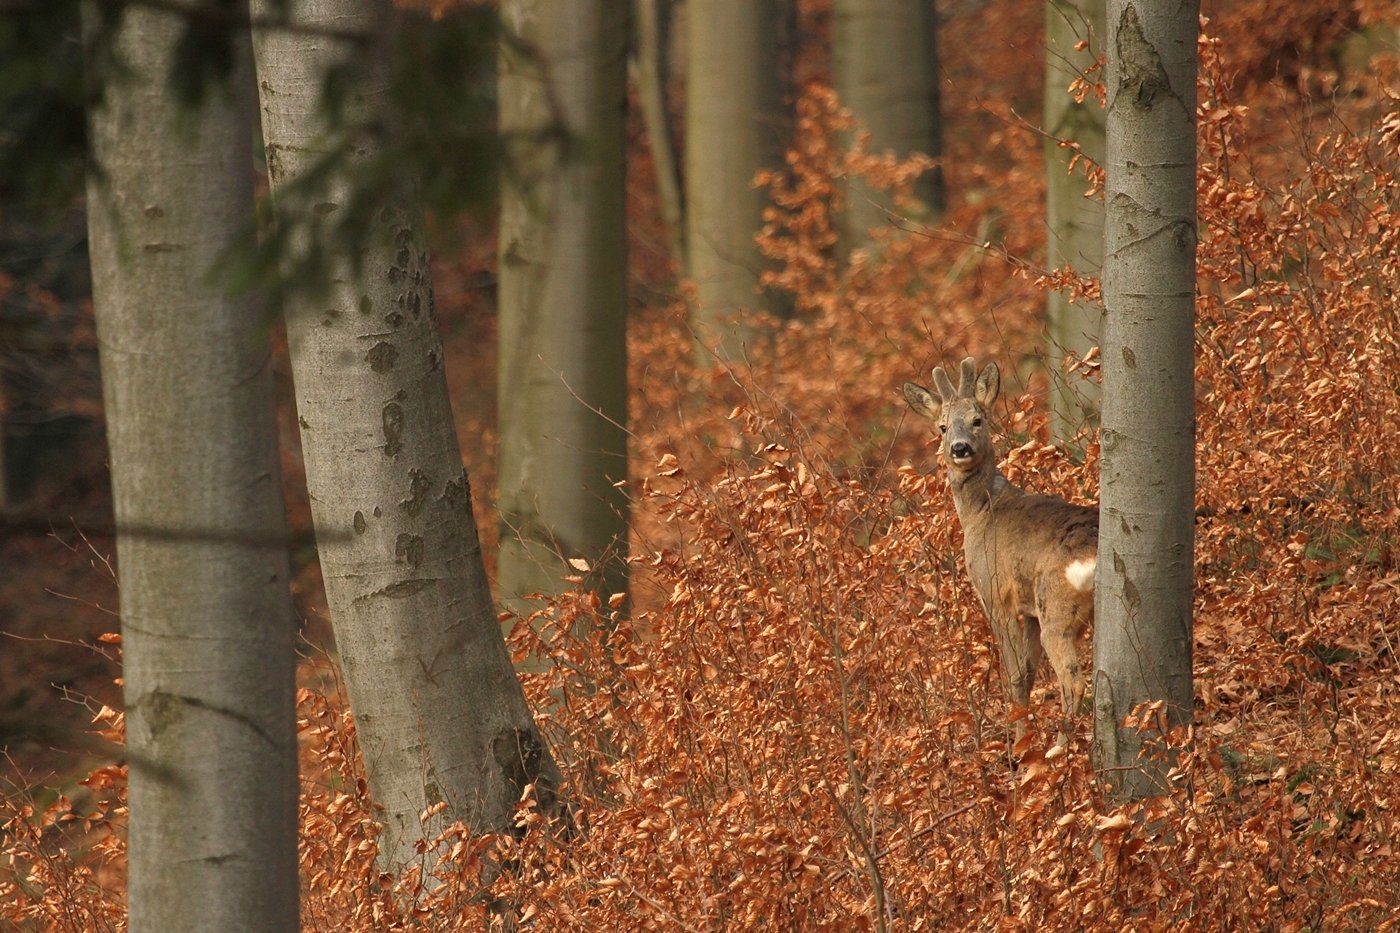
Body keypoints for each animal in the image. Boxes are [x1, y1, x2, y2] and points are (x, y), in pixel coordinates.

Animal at [901, 358, 1097, 739]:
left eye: (978, 419)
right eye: (942, 427)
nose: (959, 448)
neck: (981, 511)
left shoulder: (995, 594)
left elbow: (1016, 677)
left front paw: (1020, 745)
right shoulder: (1029, 610)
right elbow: (1030, 673)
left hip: (1055, 604)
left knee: (1073, 682)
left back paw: (1060, 746)